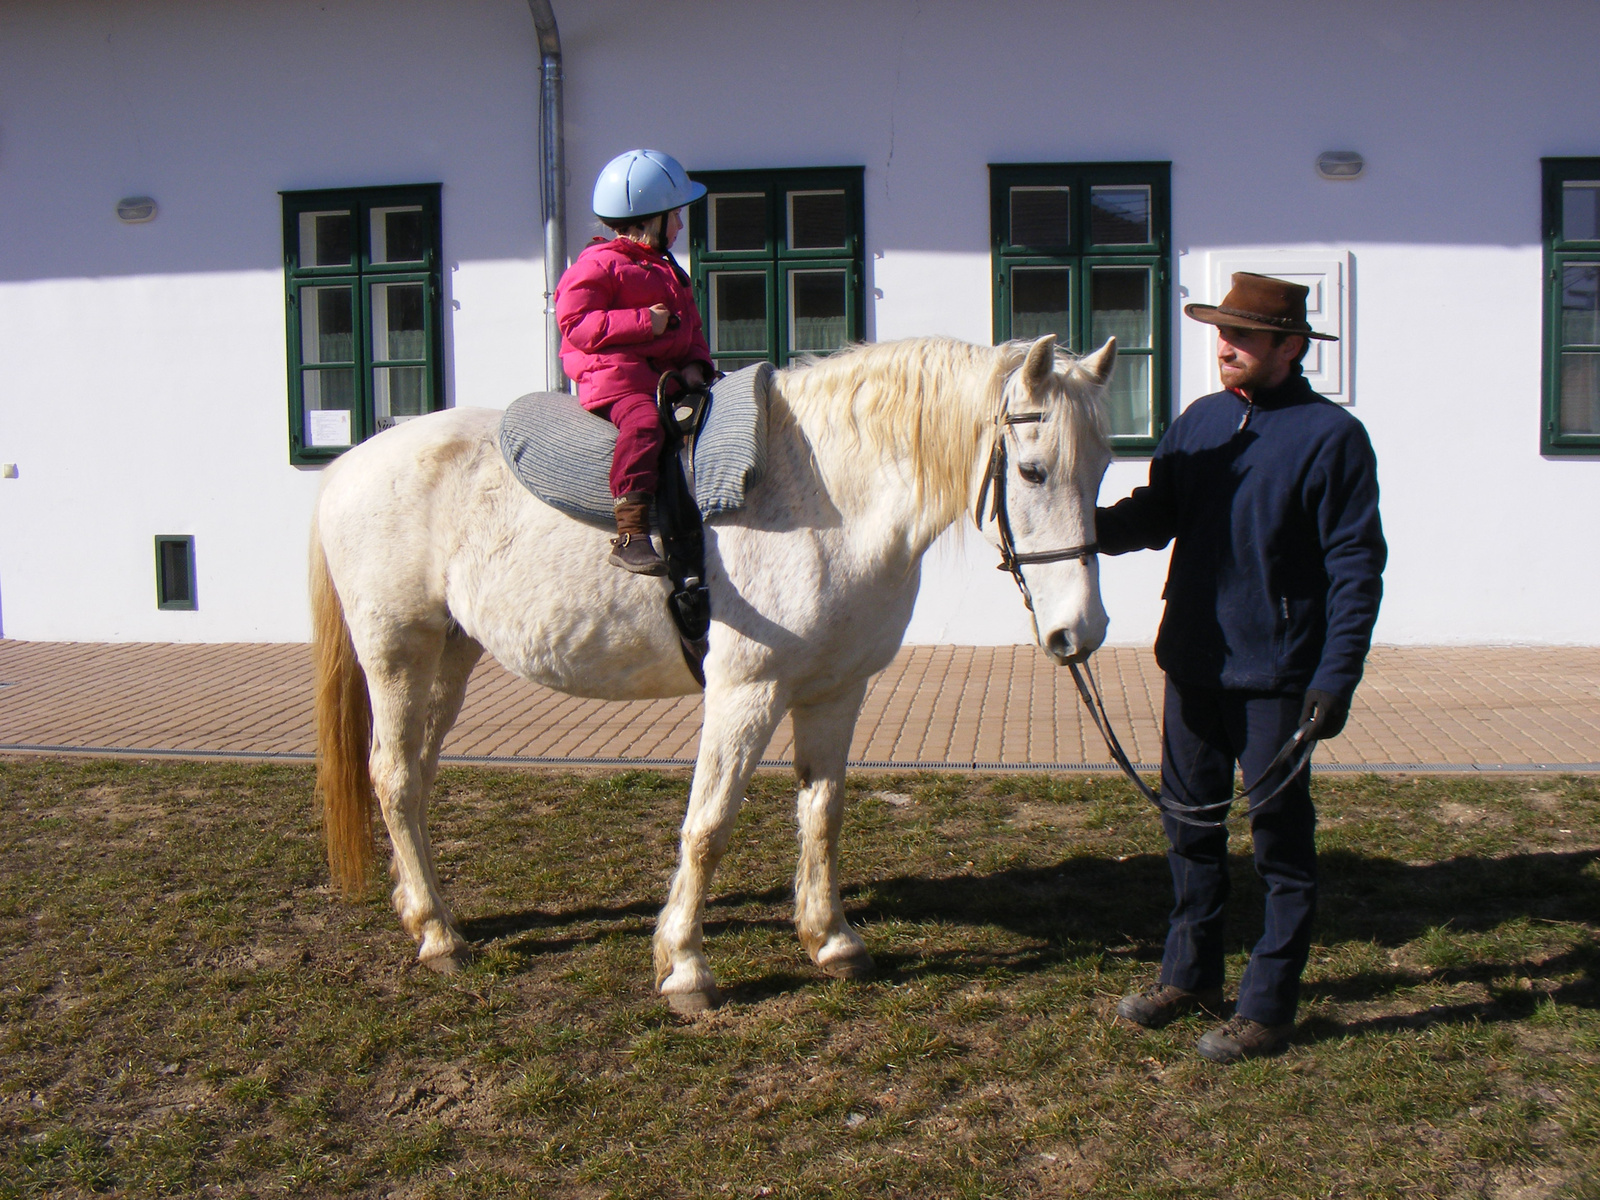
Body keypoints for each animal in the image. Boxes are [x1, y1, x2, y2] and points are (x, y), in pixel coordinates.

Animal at [312, 331, 1113, 1017]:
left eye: (1103, 469)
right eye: (1033, 470)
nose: (1082, 631)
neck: (825, 499)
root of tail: (346, 466)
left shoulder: (835, 692)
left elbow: (822, 814)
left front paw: (831, 941)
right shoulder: (745, 693)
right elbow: (709, 826)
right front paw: (685, 967)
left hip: (450, 653)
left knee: (415, 775)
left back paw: (420, 909)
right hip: (397, 652)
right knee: (394, 776)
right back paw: (439, 935)